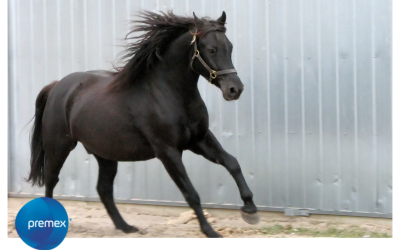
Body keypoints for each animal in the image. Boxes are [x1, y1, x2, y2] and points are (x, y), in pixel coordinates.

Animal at [28, 11, 260, 238]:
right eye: (211, 49)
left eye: (229, 47)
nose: (235, 89)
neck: (170, 94)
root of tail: (57, 86)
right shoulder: (168, 151)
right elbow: (191, 193)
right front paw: (210, 231)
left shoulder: (200, 140)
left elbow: (232, 163)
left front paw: (250, 210)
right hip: (59, 147)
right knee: (51, 180)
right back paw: (49, 225)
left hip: (105, 155)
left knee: (104, 189)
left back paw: (126, 227)